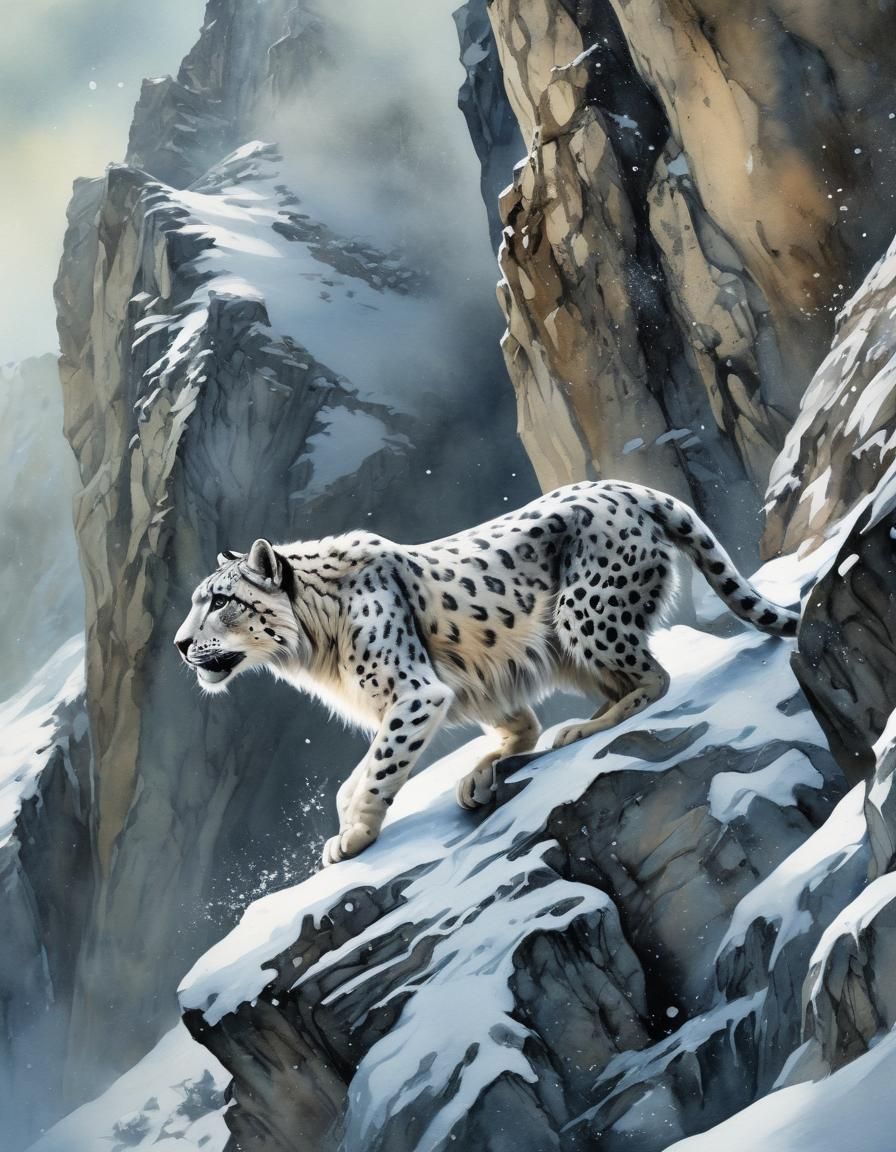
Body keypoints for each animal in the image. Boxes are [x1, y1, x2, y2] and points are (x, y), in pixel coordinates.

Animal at [174, 481, 798, 865]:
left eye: (221, 600)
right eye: (198, 599)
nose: (179, 645)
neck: (315, 652)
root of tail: (629, 487)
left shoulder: (414, 694)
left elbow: (381, 763)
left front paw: (352, 834)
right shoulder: (459, 687)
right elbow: (361, 774)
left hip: (585, 615)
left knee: (652, 677)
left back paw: (579, 729)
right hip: (550, 649)